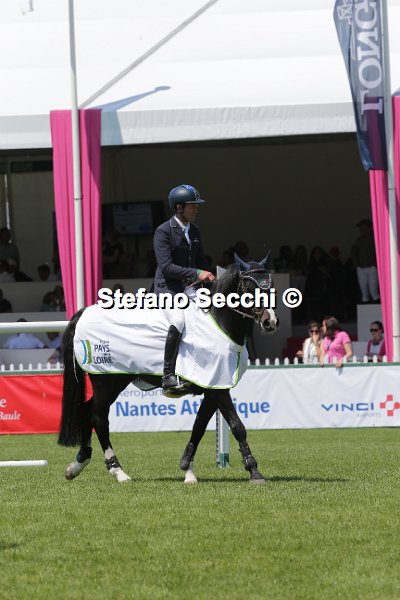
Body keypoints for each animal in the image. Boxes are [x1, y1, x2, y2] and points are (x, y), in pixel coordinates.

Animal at [58, 253, 278, 484]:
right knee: (98, 418)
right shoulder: (217, 389)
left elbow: (199, 426)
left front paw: (187, 469)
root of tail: (84, 313)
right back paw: (118, 471)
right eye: (248, 285)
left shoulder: (214, 385)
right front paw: (254, 471)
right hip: (107, 381)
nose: (269, 321)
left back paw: (77, 464)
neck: (219, 325)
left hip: (113, 380)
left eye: (270, 286)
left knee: (86, 410)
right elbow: (237, 427)